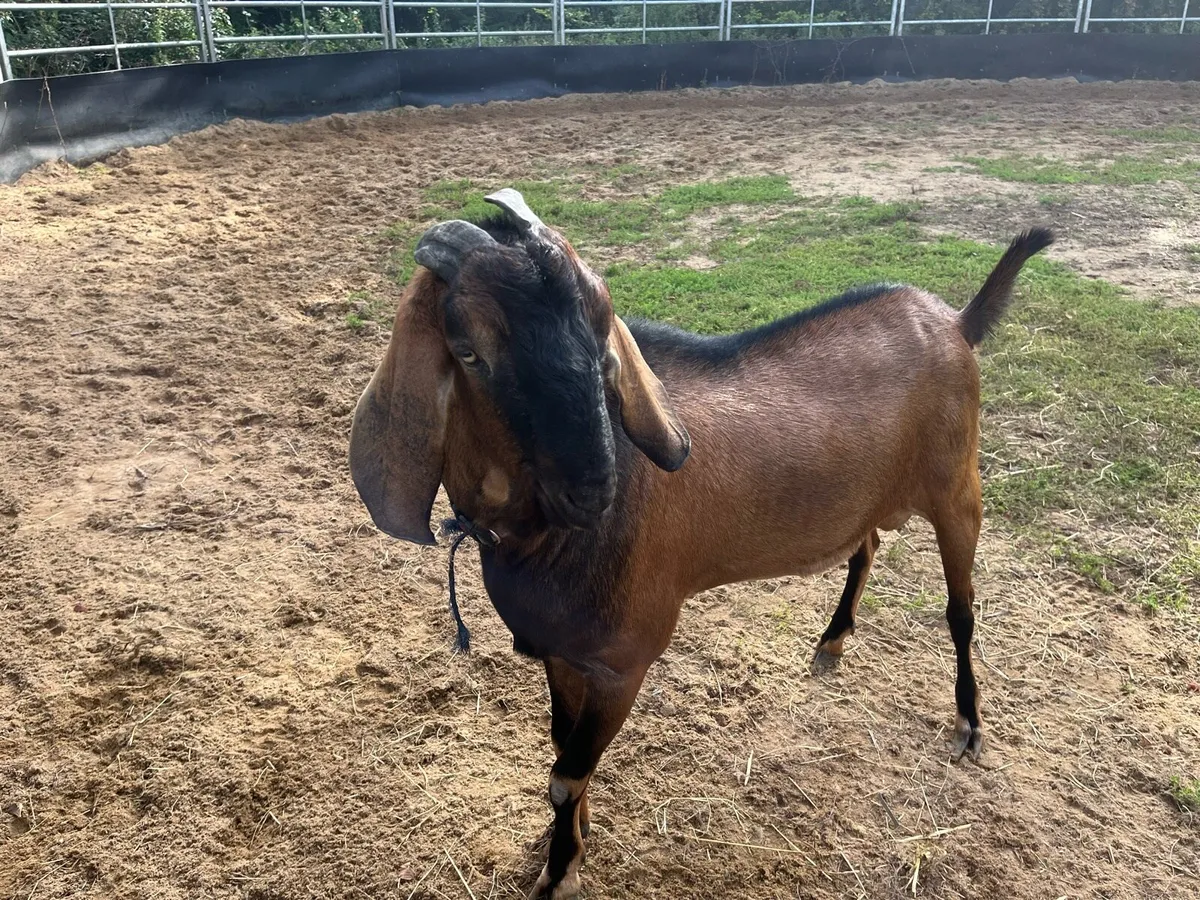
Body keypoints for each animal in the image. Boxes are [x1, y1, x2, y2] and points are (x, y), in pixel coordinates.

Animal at [349, 187, 1053, 899]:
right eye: (467, 351)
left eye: (601, 331)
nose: (593, 488)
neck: (540, 541)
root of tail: (954, 322)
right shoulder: (562, 651)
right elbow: (560, 743)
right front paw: (573, 838)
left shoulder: (623, 661)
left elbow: (566, 774)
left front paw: (560, 870)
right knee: (867, 547)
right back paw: (832, 642)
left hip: (958, 487)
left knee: (960, 609)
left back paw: (968, 723)